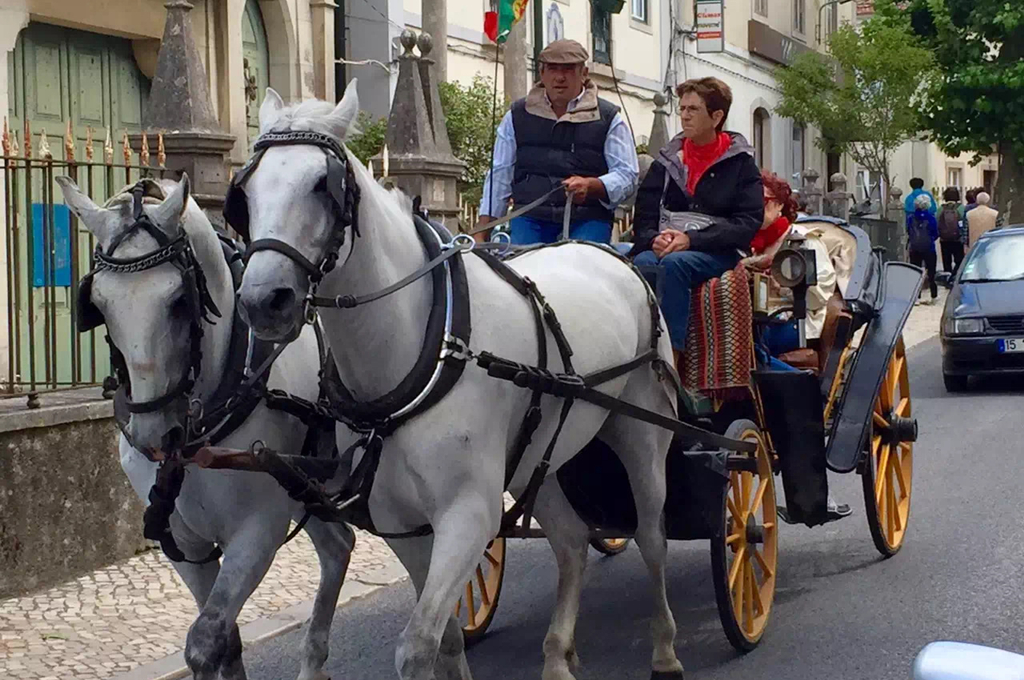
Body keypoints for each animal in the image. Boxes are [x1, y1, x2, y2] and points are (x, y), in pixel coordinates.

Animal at [55, 175, 355, 680]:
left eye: (180, 301)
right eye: (98, 303)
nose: (154, 435)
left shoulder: (257, 532)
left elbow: (205, 640)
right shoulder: (186, 543)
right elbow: (226, 642)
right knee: (338, 546)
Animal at [234, 81, 685, 680]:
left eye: (321, 185)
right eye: (248, 190)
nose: (264, 301)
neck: (424, 344)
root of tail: (607, 251)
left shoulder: (467, 514)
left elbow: (418, 644)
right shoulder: (402, 521)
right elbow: (446, 635)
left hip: (641, 434)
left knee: (653, 538)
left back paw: (665, 649)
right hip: (535, 459)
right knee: (571, 541)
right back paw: (557, 655)